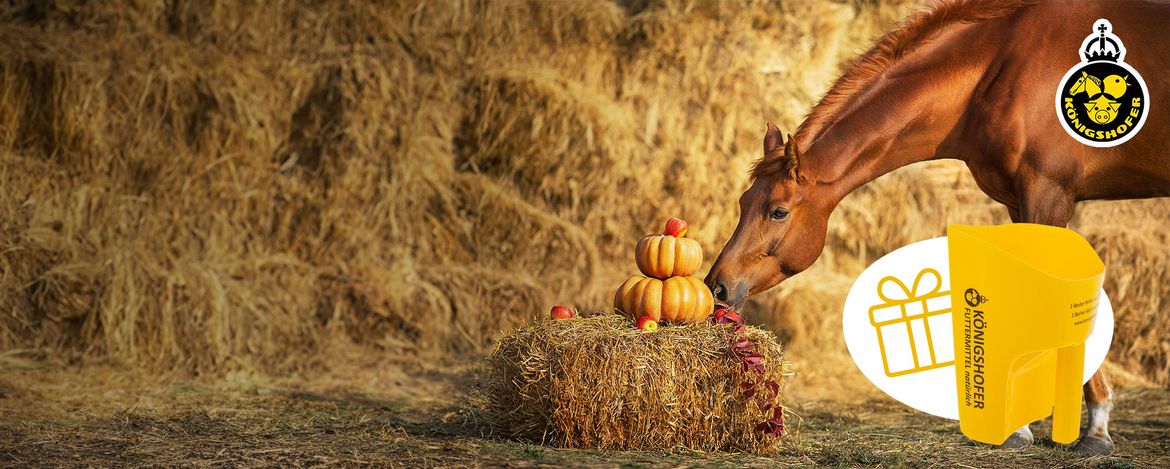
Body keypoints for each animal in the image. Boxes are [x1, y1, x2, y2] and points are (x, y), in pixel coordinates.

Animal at [702, 0, 1170, 453]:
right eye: (743, 203)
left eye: (778, 211)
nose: (716, 285)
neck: (1000, 68)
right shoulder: (1020, 202)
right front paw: (1019, 427)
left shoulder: (1048, 195)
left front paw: (1097, 428)